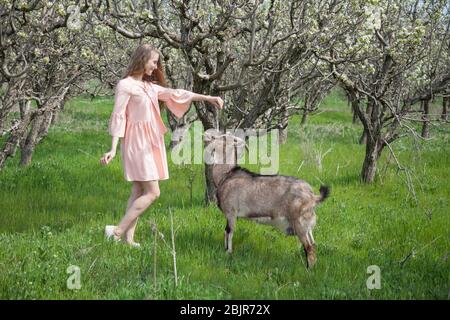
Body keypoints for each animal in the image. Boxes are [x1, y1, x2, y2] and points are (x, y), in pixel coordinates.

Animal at [205, 130, 330, 268]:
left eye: (224, 138)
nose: (207, 136)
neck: (227, 175)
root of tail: (313, 196)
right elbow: (226, 232)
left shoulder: (231, 212)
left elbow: (229, 231)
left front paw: (228, 252)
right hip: (308, 226)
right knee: (313, 244)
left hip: (300, 224)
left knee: (309, 247)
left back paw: (308, 269)